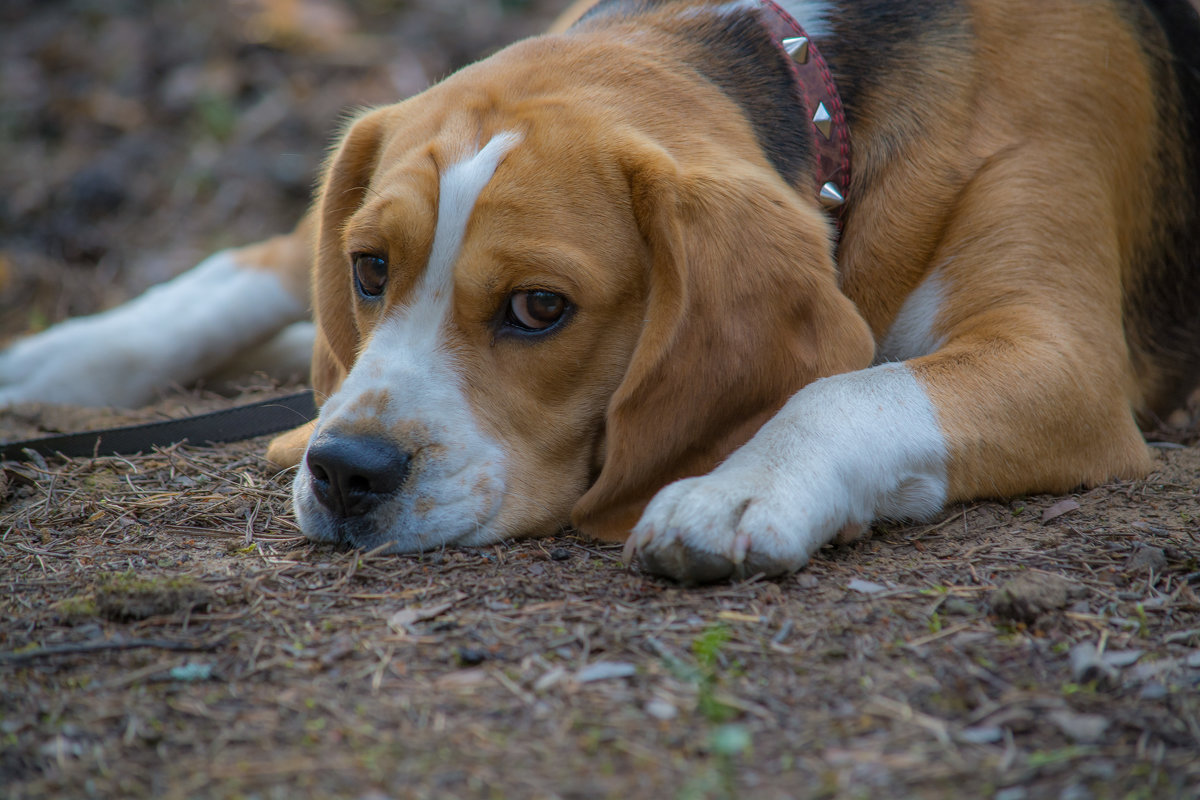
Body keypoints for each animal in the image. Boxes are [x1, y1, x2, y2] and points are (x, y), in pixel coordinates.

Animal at [2, 1, 1200, 587]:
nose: (346, 474)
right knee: (258, 260)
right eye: (372, 269)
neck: (817, 78)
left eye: (541, 309)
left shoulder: (1058, 355)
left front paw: (736, 487)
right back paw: (55, 358)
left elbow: (853, 387)